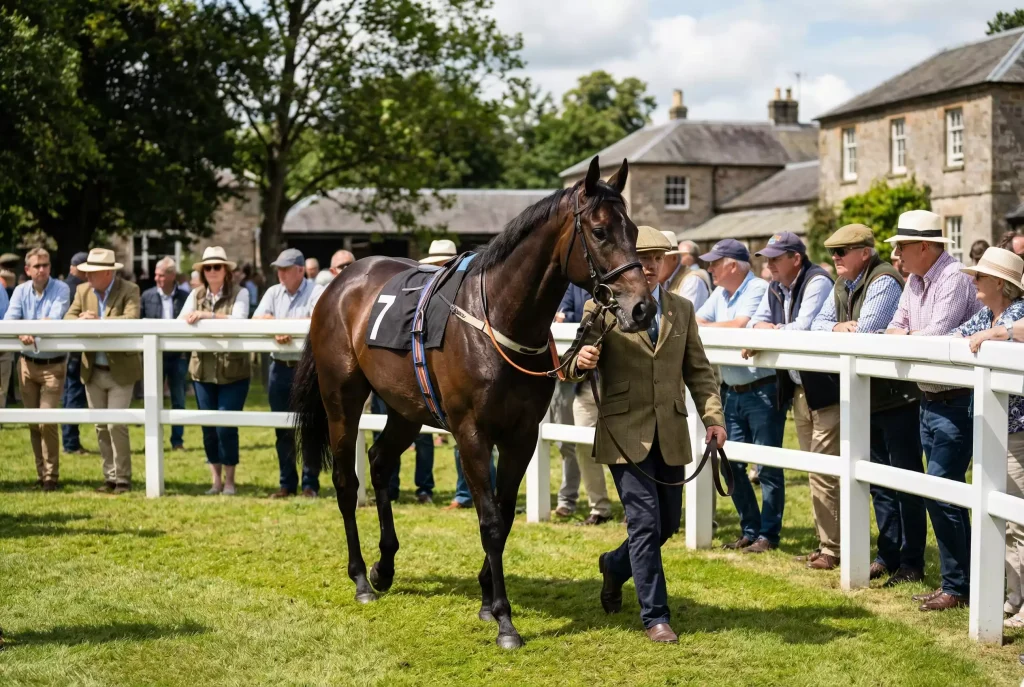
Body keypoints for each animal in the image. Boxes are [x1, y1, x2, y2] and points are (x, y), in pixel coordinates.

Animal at [291, 156, 656, 649]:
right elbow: (490, 521)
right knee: (347, 482)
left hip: (405, 409)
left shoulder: (522, 436)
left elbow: (503, 514)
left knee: (381, 463)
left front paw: (486, 599)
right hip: (342, 399)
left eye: (633, 229)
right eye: (599, 231)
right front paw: (504, 620)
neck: (499, 318)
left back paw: (384, 567)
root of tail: (339, 283)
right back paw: (362, 580)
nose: (642, 308)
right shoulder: (472, 435)